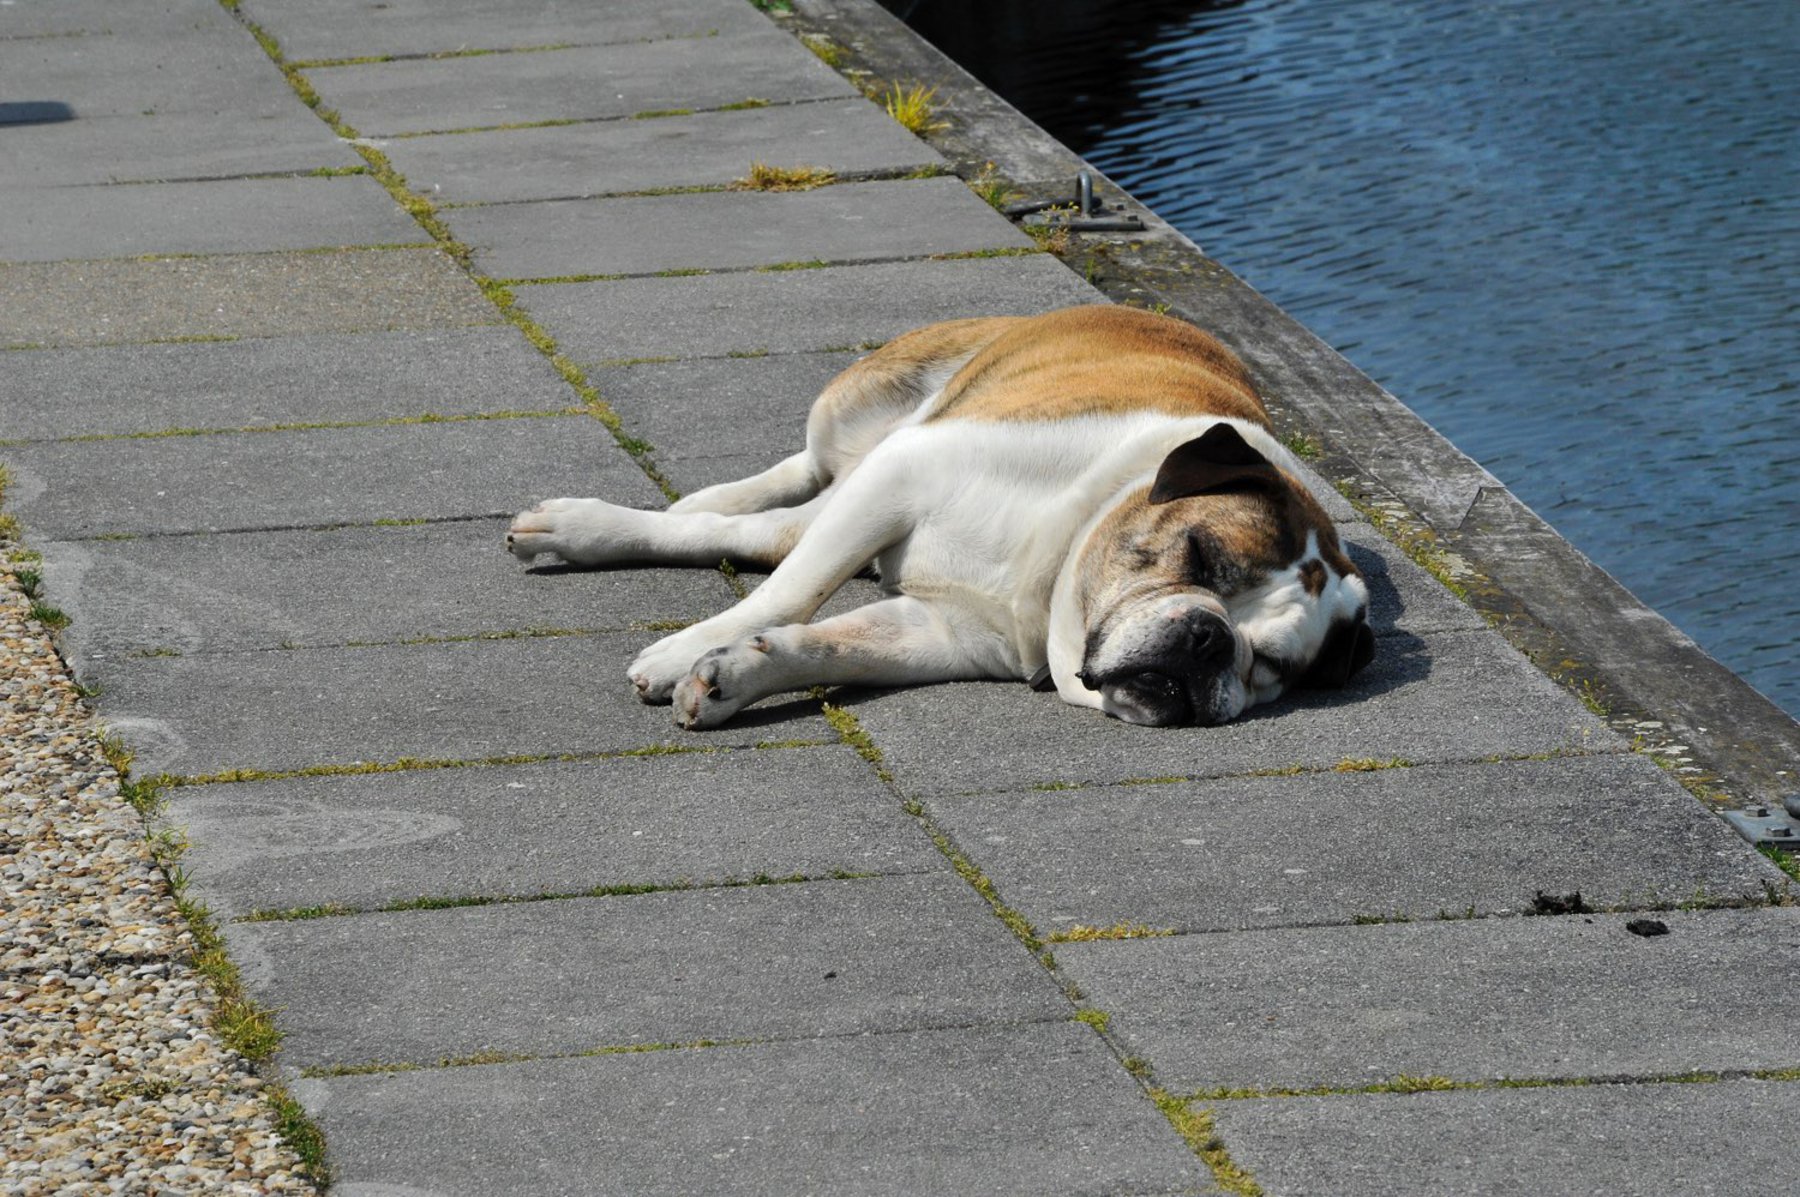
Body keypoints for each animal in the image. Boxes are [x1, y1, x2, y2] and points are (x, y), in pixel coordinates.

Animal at [500, 304, 1368, 723]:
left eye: (1271, 665)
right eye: (1198, 556)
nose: (1208, 640)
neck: (1060, 548)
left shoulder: (939, 631)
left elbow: (825, 641)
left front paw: (733, 674)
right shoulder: (901, 476)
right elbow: (791, 594)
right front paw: (687, 649)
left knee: (767, 532)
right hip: (861, 409)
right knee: (793, 485)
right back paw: (598, 521)